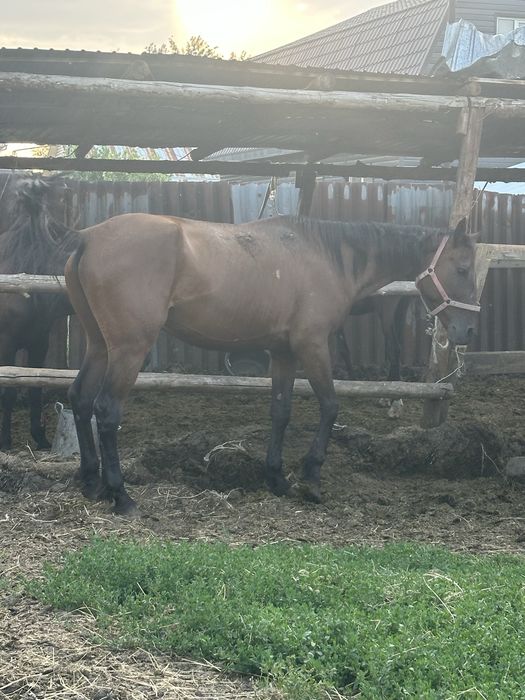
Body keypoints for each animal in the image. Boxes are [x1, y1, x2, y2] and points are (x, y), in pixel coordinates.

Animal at [0, 176, 76, 449]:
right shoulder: (7, 343)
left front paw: (40, 437)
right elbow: (9, 390)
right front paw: (5, 441)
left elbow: (35, 387)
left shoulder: (38, 343)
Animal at [62, 211, 479, 515]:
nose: (467, 329)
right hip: (129, 349)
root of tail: (87, 237)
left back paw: (91, 483)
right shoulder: (313, 346)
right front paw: (311, 477)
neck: (324, 255)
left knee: (80, 400)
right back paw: (121, 496)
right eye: (462, 269)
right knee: (106, 410)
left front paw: (276, 478)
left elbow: (281, 410)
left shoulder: (284, 353)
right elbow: (330, 406)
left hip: (99, 347)